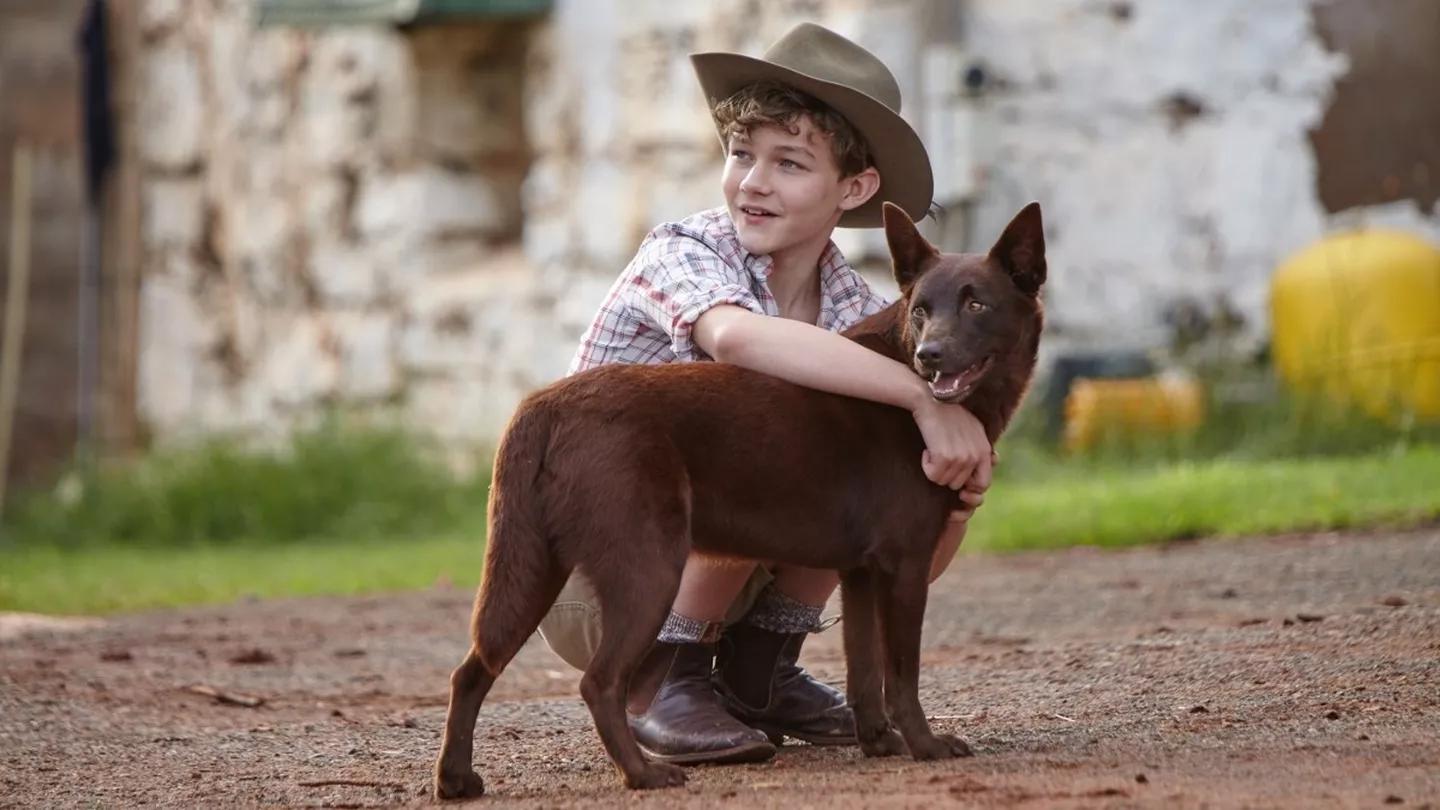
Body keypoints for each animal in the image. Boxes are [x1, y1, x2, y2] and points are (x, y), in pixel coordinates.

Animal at [429, 200, 1048, 795]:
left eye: (977, 305)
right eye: (920, 309)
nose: (930, 356)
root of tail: (545, 406)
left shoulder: (862, 574)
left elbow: (864, 670)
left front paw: (879, 743)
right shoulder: (905, 565)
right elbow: (901, 673)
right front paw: (925, 745)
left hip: (530, 568)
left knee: (472, 670)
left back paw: (457, 780)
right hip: (649, 567)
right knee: (599, 682)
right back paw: (644, 774)